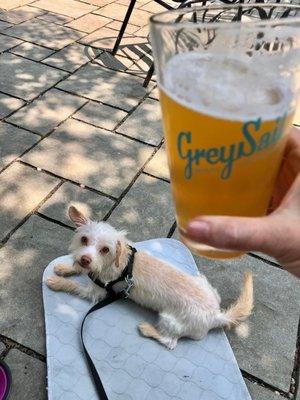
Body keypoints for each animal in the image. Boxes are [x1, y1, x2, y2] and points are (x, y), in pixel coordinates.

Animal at [47, 206, 253, 350]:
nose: (85, 259)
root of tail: (216, 315)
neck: (119, 262)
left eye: (105, 249)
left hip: (169, 319)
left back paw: (148, 330)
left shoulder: (96, 292)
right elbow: (78, 270)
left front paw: (57, 281)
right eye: (84, 239)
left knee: (170, 342)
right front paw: (63, 268)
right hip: (204, 285)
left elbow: (74, 286)